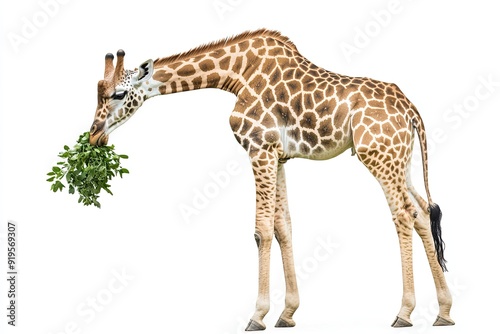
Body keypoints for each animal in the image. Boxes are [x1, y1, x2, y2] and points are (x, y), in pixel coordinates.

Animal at [89, 28, 454, 328]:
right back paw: (444, 310)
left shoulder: (259, 148)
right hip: (399, 159)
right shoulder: (278, 156)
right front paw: (287, 313)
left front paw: (257, 315)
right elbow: (283, 226)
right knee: (422, 212)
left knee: (403, 215)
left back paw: (404, 312)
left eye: (118, 94)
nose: (93, 137)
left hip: (378, 156)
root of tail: (411, 110)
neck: (236, 74)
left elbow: (261, 230)